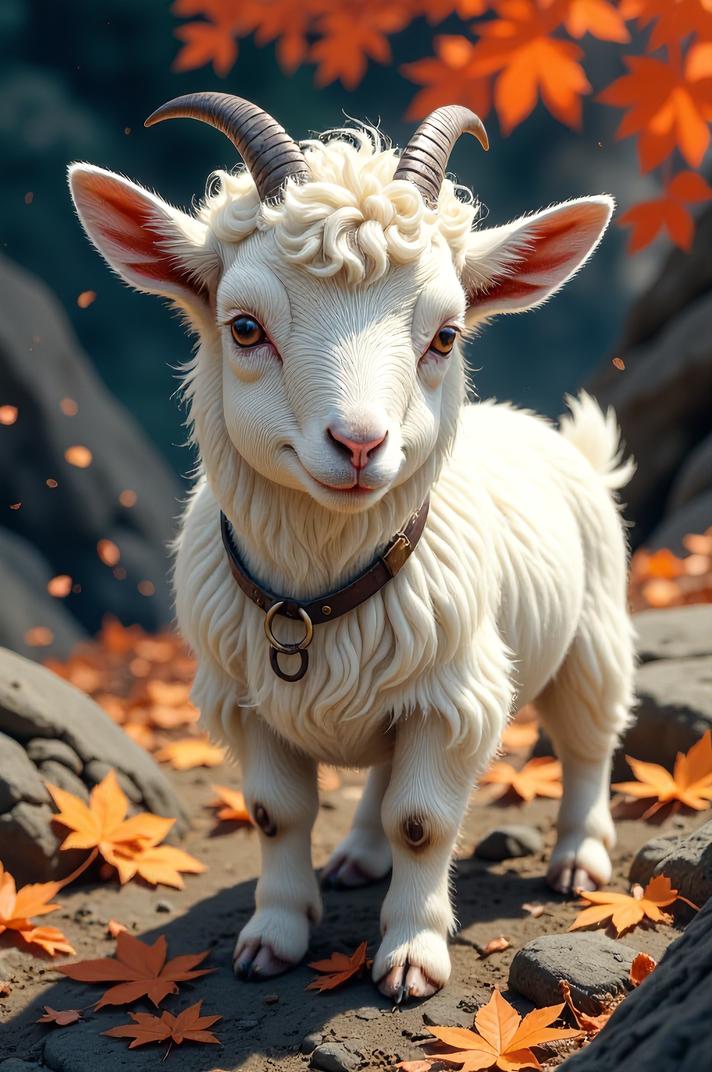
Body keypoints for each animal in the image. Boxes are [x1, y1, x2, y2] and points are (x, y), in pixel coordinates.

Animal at [69, 94, 635, 1002]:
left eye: (446, 336)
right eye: (244, 327)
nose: (361, 445)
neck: (317, 591)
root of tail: (557, 435)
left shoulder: (456, 697)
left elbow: (423, 821)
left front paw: (410, 957)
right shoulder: (244, 699)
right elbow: (278, 813)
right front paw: (272, 938)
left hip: (594, 632)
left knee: (589, 740)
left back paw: (579, 859)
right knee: (377, 777)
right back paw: (356, 856)